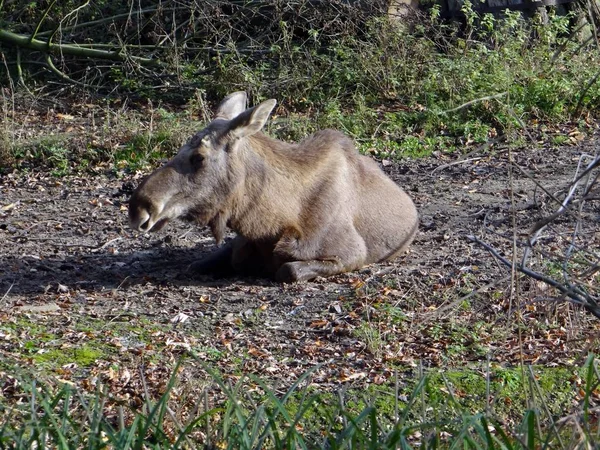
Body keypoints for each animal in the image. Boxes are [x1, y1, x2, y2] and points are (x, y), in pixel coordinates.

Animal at [127, 92, 418, 282]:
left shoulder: (351, 253)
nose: (139, 207)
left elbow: (288, 269)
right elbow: (201, 263)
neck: (272, 223)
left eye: (199, 157)